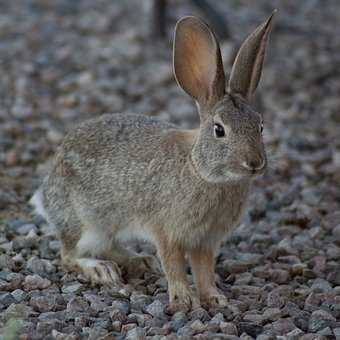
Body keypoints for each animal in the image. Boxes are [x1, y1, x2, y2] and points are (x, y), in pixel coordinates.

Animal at [30, 11, 274, 312]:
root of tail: (46, 191)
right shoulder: (167, 232)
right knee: (68, 254)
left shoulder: (205, 241)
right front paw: (183, 300)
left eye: (260, 126)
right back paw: (102, 270)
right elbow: (174, 266)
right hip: (85, 223)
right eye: (219, 130)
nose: (255, 163)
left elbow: (204, 271)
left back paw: (140, 260)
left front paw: (216, 299)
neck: (203, 171)